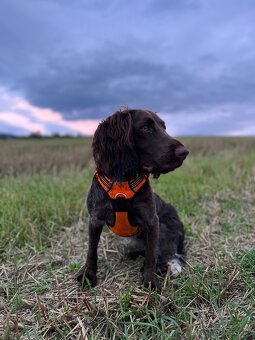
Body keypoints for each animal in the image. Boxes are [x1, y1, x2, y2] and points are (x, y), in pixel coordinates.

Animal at [76, 108, 188, 290]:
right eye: (145, 128)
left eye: (164, 127)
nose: (184, 152)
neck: (122, 182)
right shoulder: (95, 219)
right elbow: (91, 251)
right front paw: (88, 274)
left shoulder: (152, 221)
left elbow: (151, 255)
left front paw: (149, 279)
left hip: (167, 227)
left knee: (170, 255)